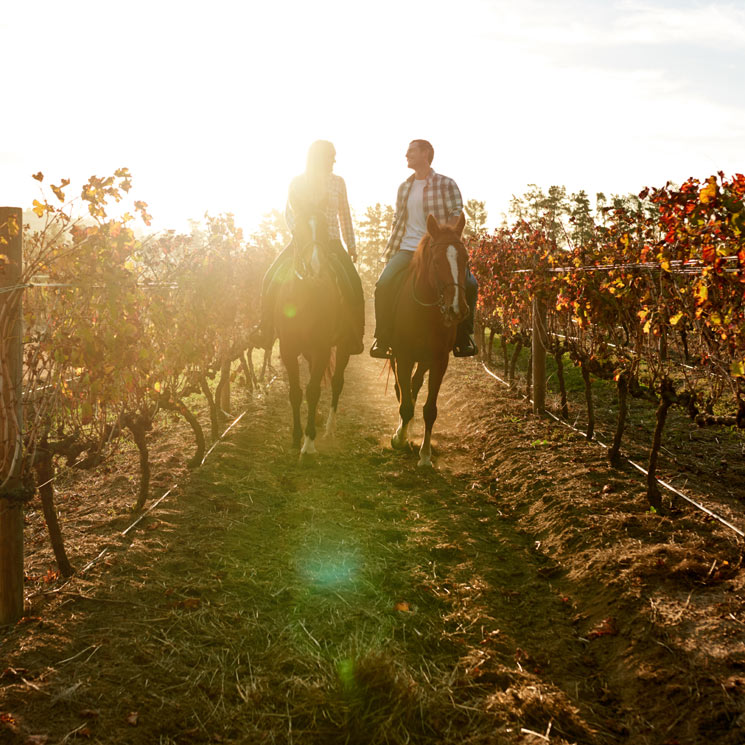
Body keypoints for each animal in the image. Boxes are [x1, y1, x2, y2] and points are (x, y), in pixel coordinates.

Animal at [274, 205, 352, 454]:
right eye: (298, 230)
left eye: (325, 229)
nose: (316, 268)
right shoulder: (288, 349)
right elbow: (296, 392)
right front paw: (296, 436)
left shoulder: (322, 349)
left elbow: (313, 390)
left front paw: (308, 443)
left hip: (344, 346)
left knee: (337, 382)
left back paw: (329, 428)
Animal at [390, 209, 464, 464]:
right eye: (437, 261)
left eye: (466, 260)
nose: (455, 309)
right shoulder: (402, 356)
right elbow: (405, 403)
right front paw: (399, 439)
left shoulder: (440, 360)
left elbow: (429, 409)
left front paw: (425, 454)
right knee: (401, 390)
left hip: (424, 360)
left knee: (414, 385)